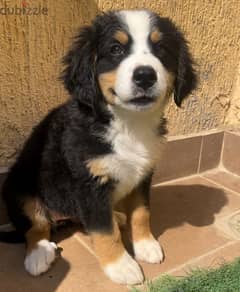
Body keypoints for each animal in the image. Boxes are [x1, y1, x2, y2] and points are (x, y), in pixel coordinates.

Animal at [0, 9, 196, 286]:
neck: (128, 124)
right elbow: (104, 231)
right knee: (36, 225)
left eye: (161, 49)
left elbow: (141, 213)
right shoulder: (89, 183)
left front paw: (146, 244)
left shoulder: (144, 175)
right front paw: (121, 266)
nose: (145, 75)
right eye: (115, 49)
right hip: (20, 186)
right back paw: (39, 254)